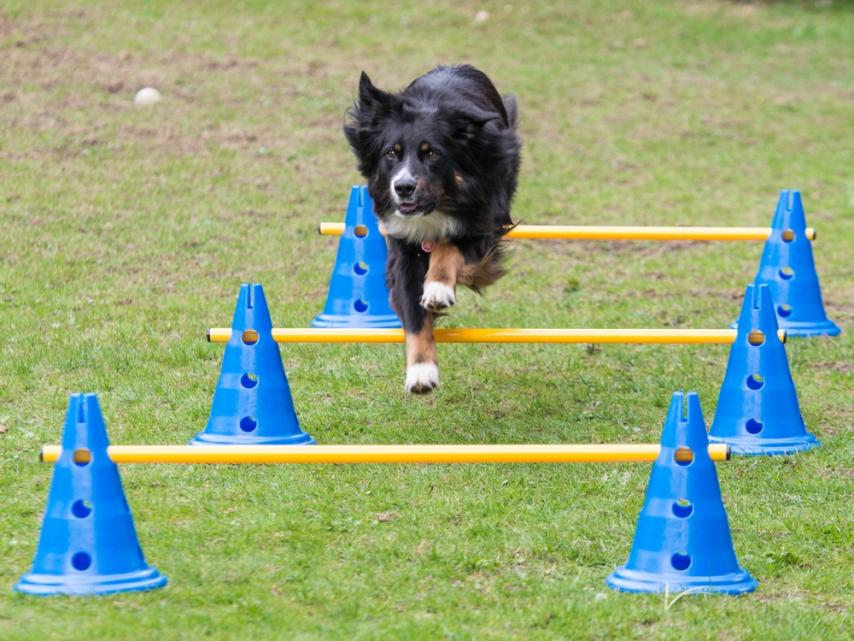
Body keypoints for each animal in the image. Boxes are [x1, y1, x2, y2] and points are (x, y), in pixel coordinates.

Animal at [342, 67, 520, 392]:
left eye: (432, 154)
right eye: (391, 153)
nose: (403, 187)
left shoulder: (485, 223)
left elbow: (450, 246)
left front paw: (437, 288)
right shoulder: (402, 247)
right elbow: (413, 314)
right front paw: (420, 371)